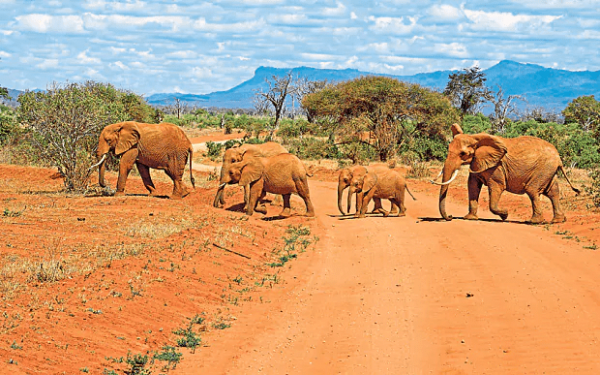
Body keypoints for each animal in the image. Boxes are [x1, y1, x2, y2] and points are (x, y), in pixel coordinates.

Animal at [432, 123, 580, 223]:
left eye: (463, 154)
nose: (450, 217)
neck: (475, 138)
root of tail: (559, 157)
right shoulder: (477, 162)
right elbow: (473, 185)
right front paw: (470, 218)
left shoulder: (496, 167)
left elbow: (496, 186)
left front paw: (505, 215)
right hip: (548, 169)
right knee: (552, 191)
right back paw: (558, 221)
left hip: (544, 168)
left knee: (532, 190)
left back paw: (533, 222)